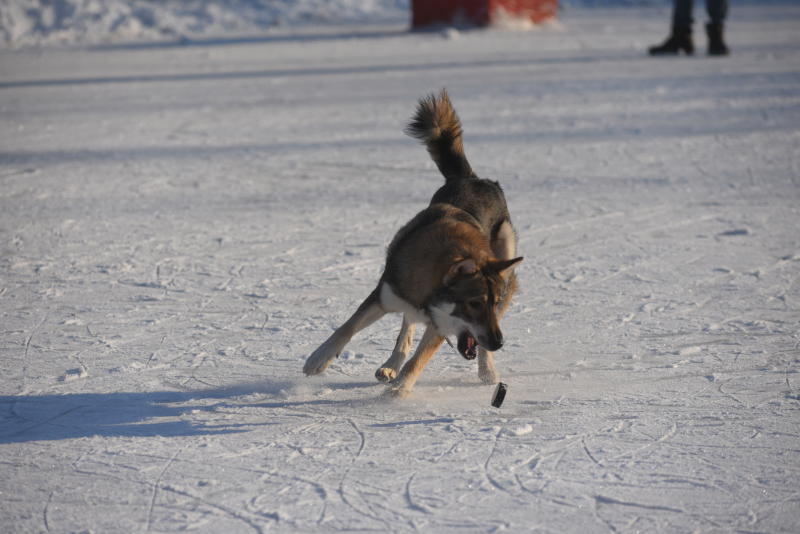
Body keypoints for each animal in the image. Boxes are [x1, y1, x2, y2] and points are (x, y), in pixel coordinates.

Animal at [304, 89, 520, 398]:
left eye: (491, 303)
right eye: (475, 303)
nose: (499, 342)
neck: (429, 292)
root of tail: (473, 178)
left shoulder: (442, 325)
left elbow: (418, 360)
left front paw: (398, 391)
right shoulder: (383, 296)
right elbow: (346, 328)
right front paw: (318, 359)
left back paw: (487, 370)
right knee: (407, 323)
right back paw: (391, 364)